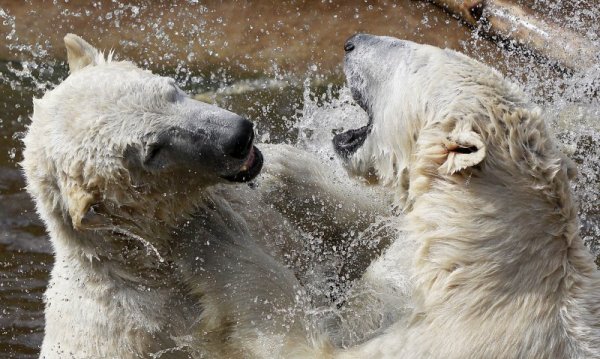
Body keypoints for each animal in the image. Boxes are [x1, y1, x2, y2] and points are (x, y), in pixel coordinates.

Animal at [22, 34, 394, 359]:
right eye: (153, 151)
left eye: (170, 89)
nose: (239, 137)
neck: (145, 262)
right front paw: (211, 232)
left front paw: (286, 173)